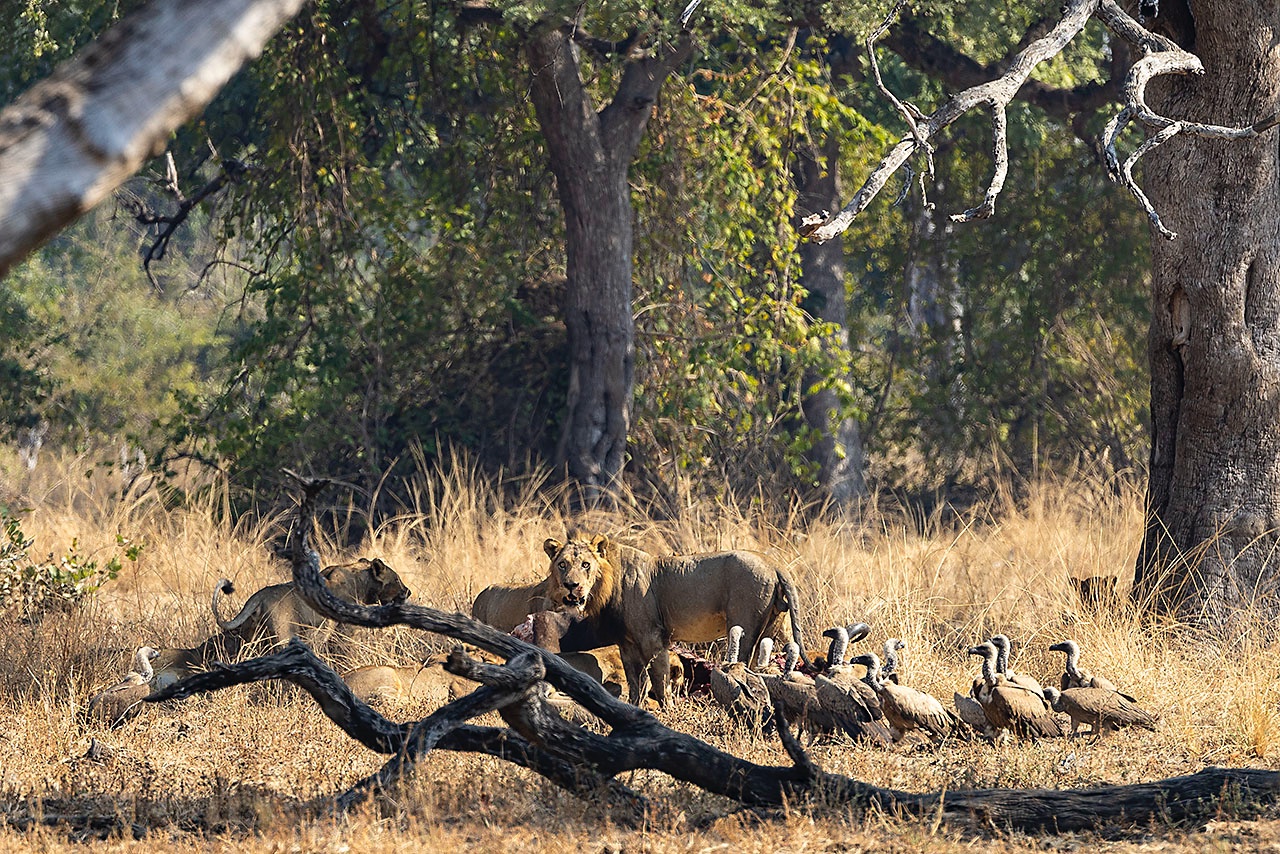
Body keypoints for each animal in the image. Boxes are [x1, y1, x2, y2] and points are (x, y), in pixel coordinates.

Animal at [212, 557, 410, 656]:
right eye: (396, 579)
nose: (408, 592)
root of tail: (259, 596)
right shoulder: (343, 630)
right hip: (283, 635)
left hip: (250, 637)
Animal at [542, 534, 806, 707]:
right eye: (562, 564)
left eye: (586, 564)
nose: (571, 585)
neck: (607, 583)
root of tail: (773, 562)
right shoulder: (626, 644)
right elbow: (635, 681)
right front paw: (634, 708)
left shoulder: (653, 638)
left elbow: (659, 678)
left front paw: (667, 709)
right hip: (771, 626)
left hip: (745, 626)